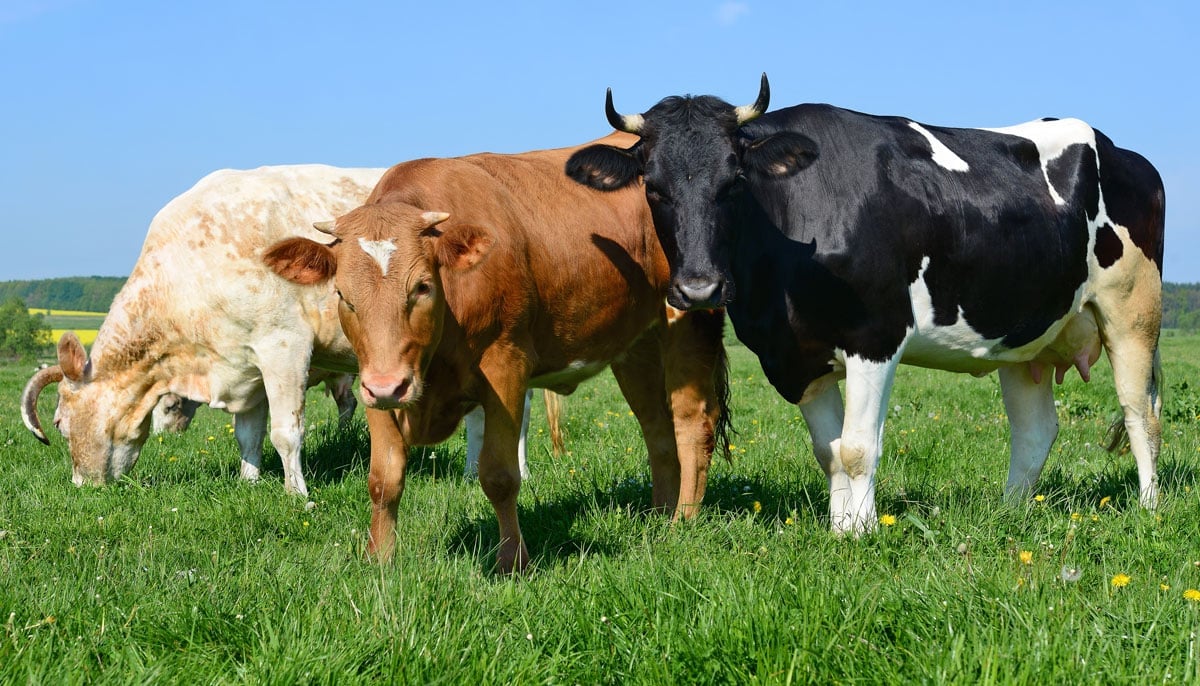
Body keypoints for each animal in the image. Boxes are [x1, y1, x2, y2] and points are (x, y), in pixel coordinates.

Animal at [265, 130, 729, 573]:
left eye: (422, 287)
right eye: (343, 295)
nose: (388, 386)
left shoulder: (505, 365)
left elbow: (499, 475)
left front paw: (512, 561)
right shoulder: (375, 379)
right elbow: (384, 477)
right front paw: (378, 559)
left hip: (689, 319)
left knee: (692, 424)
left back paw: (682, 521)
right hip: (636, 346)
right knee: (657, 428)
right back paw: (659, 515)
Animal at [566, 76, 1166, 534]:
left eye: (734, 181)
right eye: (653, 187)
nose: (699, 290)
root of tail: (1123, 151)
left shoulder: (875, 335)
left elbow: (857, 448)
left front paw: (863, 533)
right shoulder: (794, 356)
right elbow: (828, 451)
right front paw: (839, 531)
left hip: (1134, 309)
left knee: (1141, 413)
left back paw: (1149, 509)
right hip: (1025, 338)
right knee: (1035, 431)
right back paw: (1010, 514)